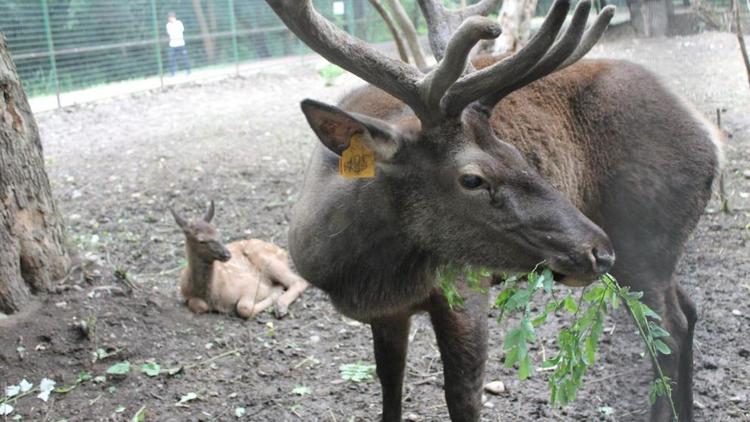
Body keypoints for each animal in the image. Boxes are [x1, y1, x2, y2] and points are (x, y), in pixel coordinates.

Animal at [172, 203, 310, 318]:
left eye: (217, 233)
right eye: (201, 240)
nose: (227, 254)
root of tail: (283, 251)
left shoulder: (250, 285)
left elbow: (244, 308)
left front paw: (275, 292)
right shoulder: (184, 293)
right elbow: (199, 305)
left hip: (265, 259)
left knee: (299, 280)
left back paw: (280, 306)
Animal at [268, 1, 724, 420]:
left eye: (517, 152)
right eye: (473, 179)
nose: (598, 250)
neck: (357, 275)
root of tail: (712, 138)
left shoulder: (464, 284)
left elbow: (464, 396)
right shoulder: (388, 314)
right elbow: (390, 386)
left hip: (643, 238)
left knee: (668, 332)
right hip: (654, 251)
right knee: (687, 311)